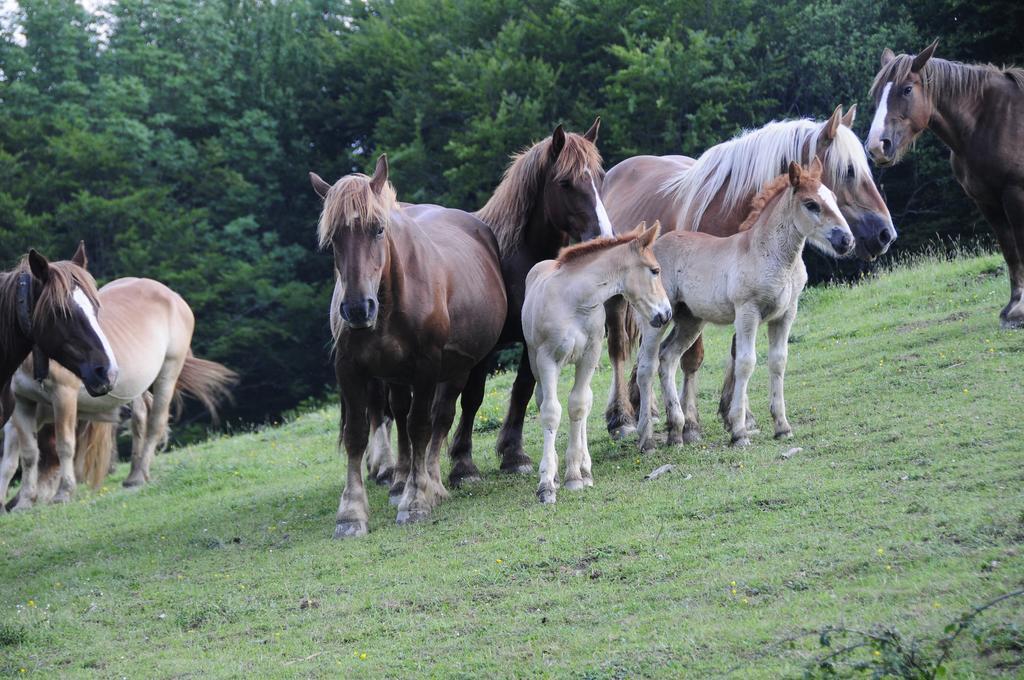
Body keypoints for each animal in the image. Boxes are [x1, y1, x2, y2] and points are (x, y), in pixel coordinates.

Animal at [307, 153, 507, 536]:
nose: (358, 308)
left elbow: (421, 427)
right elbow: (358, 433)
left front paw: (416, 500)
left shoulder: (427, 367)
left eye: (378, 228)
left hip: (458, 368)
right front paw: (351, 512)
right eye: (334, 237)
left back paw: (432, 484)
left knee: (439, 418)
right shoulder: (349, 368)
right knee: (401, 415)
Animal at [524, 224, 675, 503]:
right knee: (544, 400)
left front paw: (575, 475)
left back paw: (584, 469)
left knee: (584, 402)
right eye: (655, 270)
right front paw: (547, 484)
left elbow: (578, 406)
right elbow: (551, 412)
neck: (573, 302)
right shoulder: (547, 359)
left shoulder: (590, 355)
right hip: (535, 363)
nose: (666, 314)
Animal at [864, 41, 1024, 327]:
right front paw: (1013, 307)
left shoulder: (1014, 193)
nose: (876, 146)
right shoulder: (987, 201)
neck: (991, 122)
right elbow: (1010, 250)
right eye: (877, 95)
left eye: (907, 89)